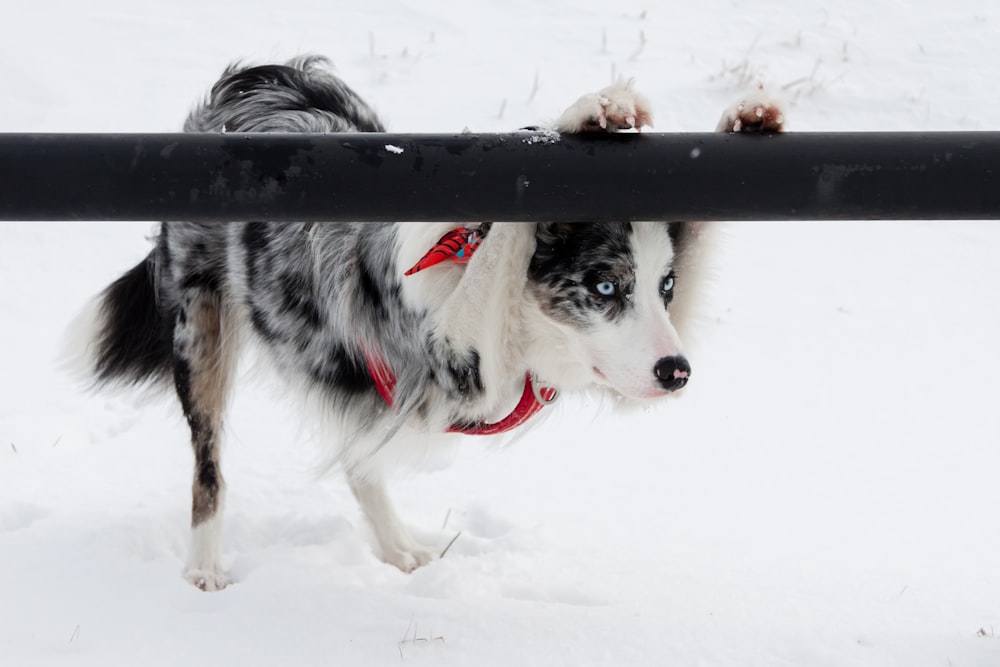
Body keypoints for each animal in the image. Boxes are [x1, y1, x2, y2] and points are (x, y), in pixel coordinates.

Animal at [74, 56, 784, 588]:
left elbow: (697, 232)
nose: (677, 373)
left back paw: (396, 547)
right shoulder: (459, 353)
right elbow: (510, 234)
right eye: (604, 286)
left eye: (665, 287)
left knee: (360, 457)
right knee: (209, 469)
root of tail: (251, 83)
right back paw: (203, 566)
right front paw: (584, 112)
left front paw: (744, 118)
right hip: (203, 338)